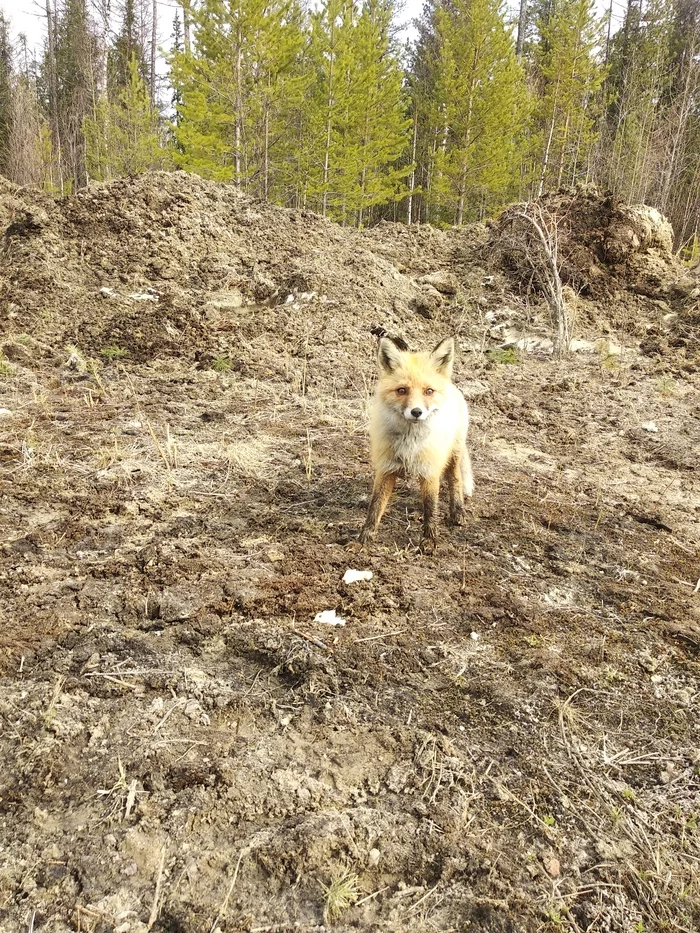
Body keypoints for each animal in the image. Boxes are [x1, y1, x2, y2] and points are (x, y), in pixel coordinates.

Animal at [360, 336, 470, 548]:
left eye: (428, 391)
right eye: (402, 390)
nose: (417, 412)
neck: (409, 443)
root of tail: (452, 386)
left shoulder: (430, 470)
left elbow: (431, 507)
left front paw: (429, 541)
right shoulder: (386, 469)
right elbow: (375, 506)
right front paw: (363, 539)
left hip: (454, 453)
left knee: (455, 479)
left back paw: (458, 510)